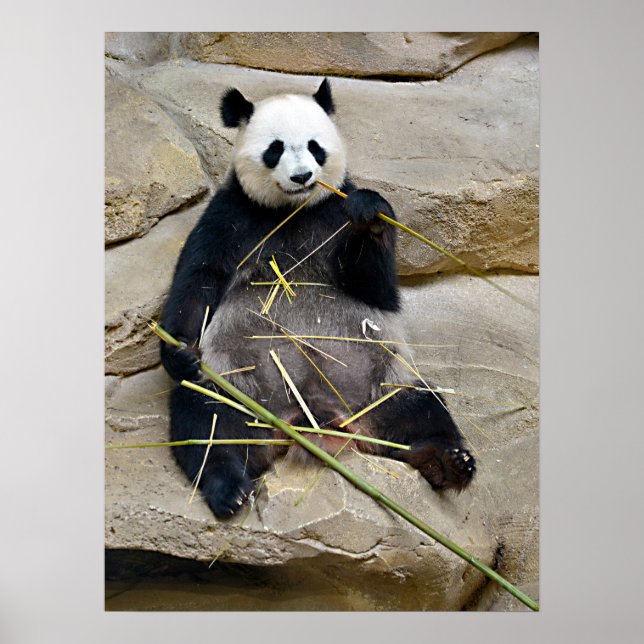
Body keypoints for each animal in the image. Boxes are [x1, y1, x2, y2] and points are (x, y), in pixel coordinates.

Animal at [160, 79, 475, 518]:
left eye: (315, 146)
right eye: (275, 148)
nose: (303, 176)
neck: (293, 211)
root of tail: (314, 421)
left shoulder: (335, 210)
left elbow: (377, 288)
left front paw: (370, 215)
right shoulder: (230, 216)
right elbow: (198, 280)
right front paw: (179, 351)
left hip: (380, 388)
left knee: (423, 410)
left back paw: (450, 463)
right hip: (238, 390)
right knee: (206, 422)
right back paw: (229, 488)